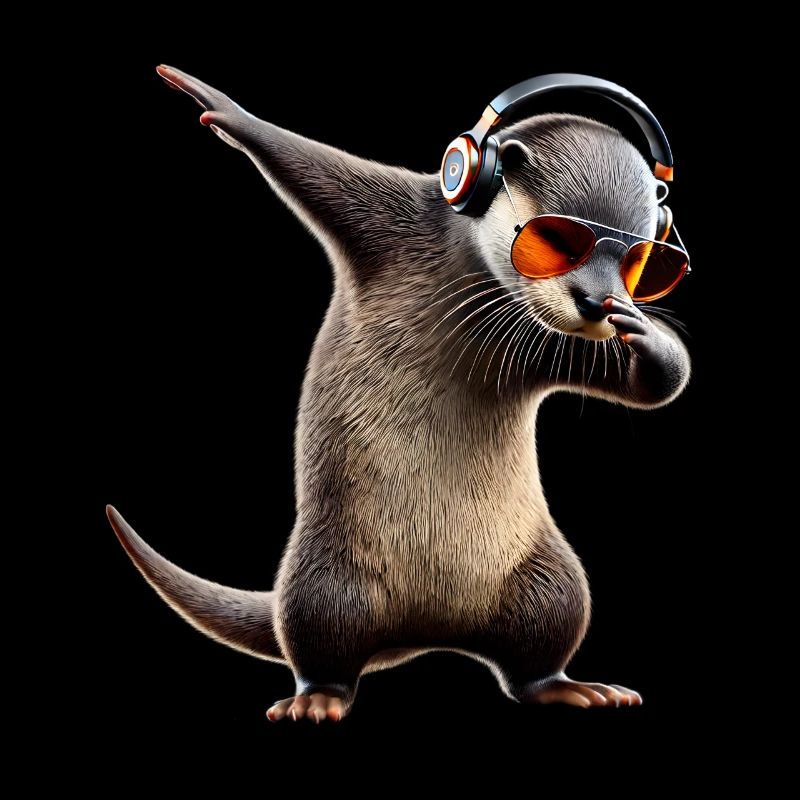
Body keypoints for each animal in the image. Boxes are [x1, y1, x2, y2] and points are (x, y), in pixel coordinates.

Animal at [108, 65, 690, 723]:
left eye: (641, 263)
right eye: (559, 242)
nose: (599, 302)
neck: (459, 262)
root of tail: (427, 629)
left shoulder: (547, 342)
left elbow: (652, 384)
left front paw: (644, 334)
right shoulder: (390, 218)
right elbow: (314, 166)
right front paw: (225, 110)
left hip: (552, 580)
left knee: (535, 655)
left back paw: (569, 687)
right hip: (322, 583)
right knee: (323, 652)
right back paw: (318, 698)